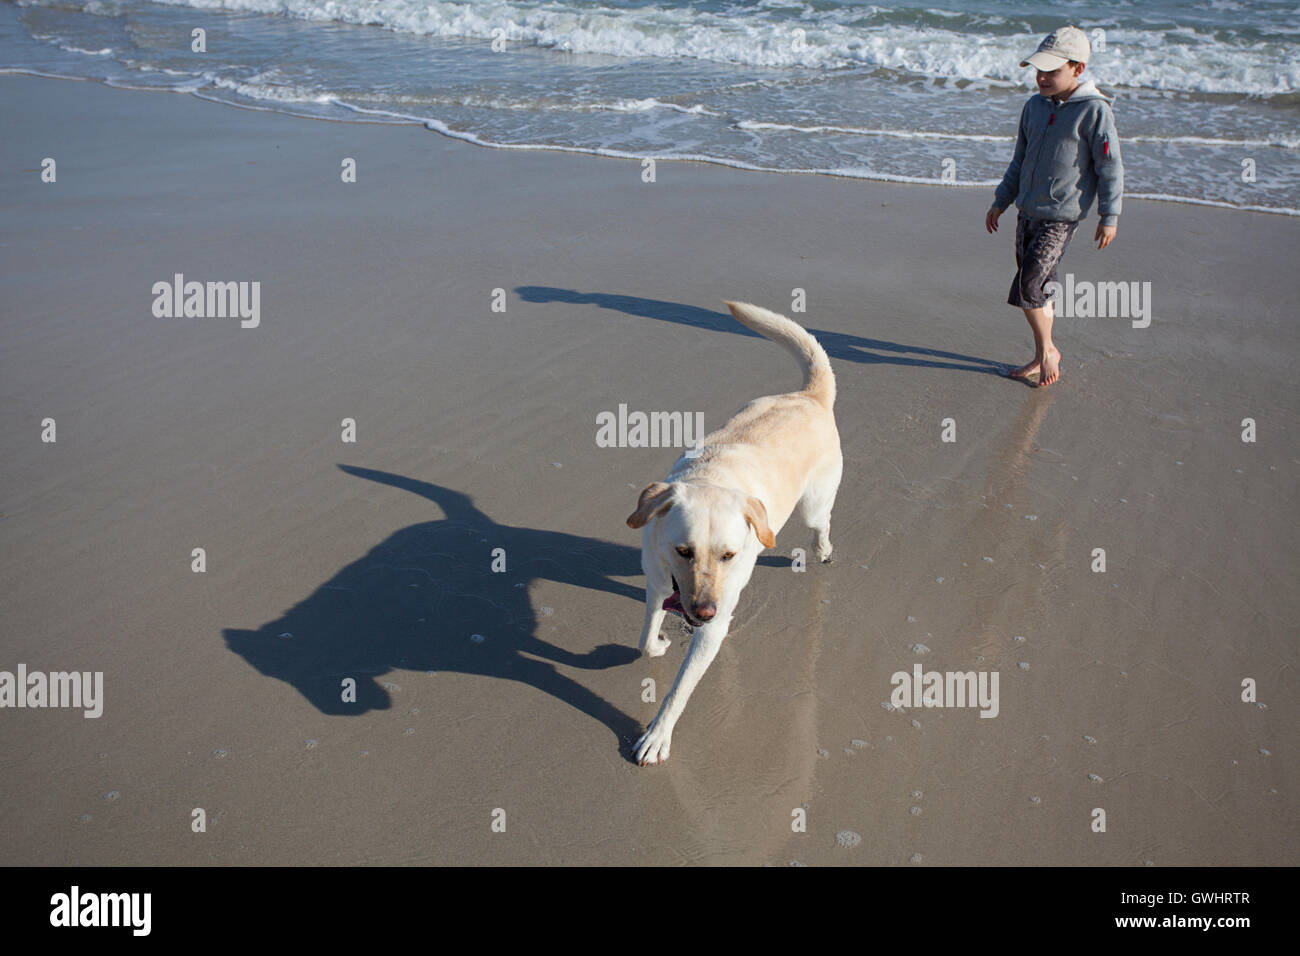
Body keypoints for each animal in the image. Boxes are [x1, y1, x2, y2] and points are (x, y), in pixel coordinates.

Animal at [626, 303, 842, 764]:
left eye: (729, 555)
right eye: (683, 550)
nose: (705, 611)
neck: (711, 477)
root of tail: (808, 396)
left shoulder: (712, 625)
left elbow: (679, 690)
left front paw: (657, 735)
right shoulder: (657, 580)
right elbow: (644, 637)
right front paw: (658, 644)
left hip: (814, 505)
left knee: (822, 525)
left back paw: (822, 550)